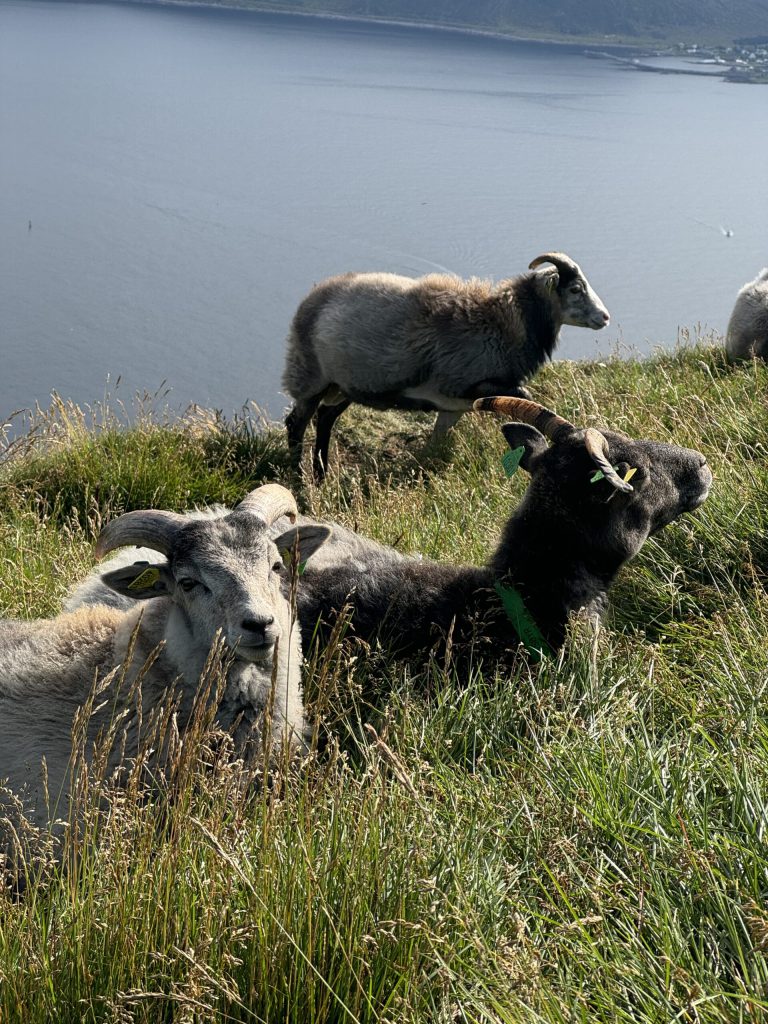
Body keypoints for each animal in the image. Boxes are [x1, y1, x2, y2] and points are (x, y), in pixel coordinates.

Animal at [282, 252, 610, 480]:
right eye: (575, 289)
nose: (605, 317)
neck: (504, 324)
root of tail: (311, 300)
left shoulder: (454, 405)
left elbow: (438, 444)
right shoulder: (466, 384)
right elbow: (524, 394)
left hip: (346, 385)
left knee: (325, 418)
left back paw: (321, 474)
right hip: (311, 377)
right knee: (296, 424)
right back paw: (299, 477)